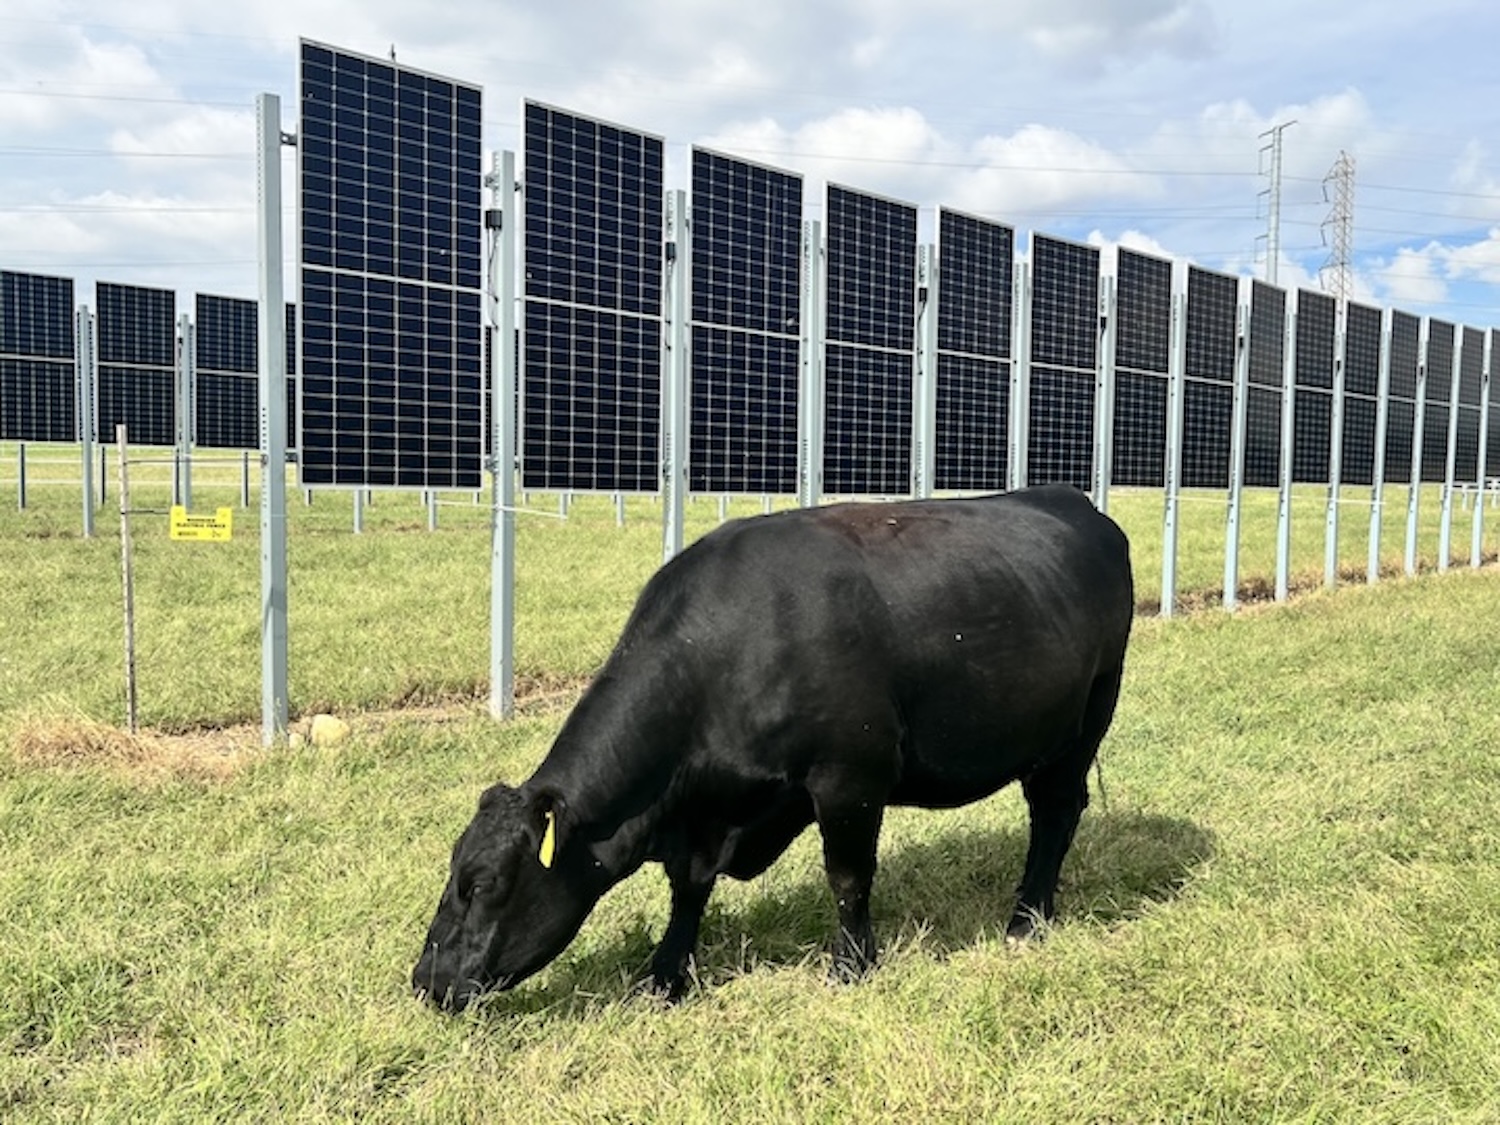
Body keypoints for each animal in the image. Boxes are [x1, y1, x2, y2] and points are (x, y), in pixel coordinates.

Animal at [417, 486, 1128, 1014]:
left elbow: (848, 875)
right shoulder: (702, 816)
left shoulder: (849, 777)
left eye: (481, 884)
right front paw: (665, 975)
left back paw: (1027, 920)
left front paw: (851, 967)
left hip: (1086, 718)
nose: (426, 981)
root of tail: (1073, 502)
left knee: (1055, 814)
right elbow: (688, 889)